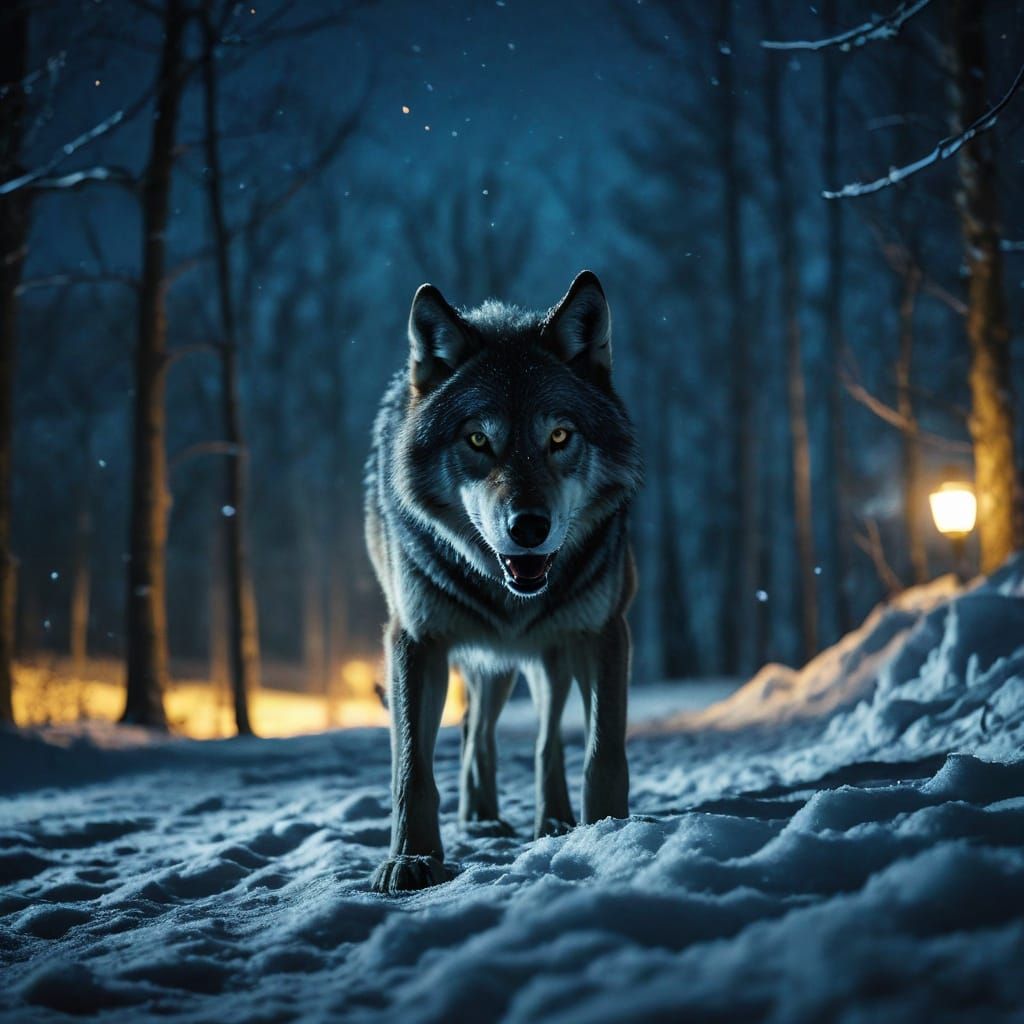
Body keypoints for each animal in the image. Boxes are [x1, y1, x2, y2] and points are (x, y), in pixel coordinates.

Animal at [364, 271, 641, 893]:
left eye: (560, 436)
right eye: (477, 440)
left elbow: (602, 754)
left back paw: (554, 821)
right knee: (476, 733)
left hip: (547, 659)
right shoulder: (415, 640)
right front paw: (411, 859)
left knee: (543, 741)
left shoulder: (604, 633)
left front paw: (609, 836)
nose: (529, 527)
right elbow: (411, 766)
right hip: (484, 664)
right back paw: (482, 818)